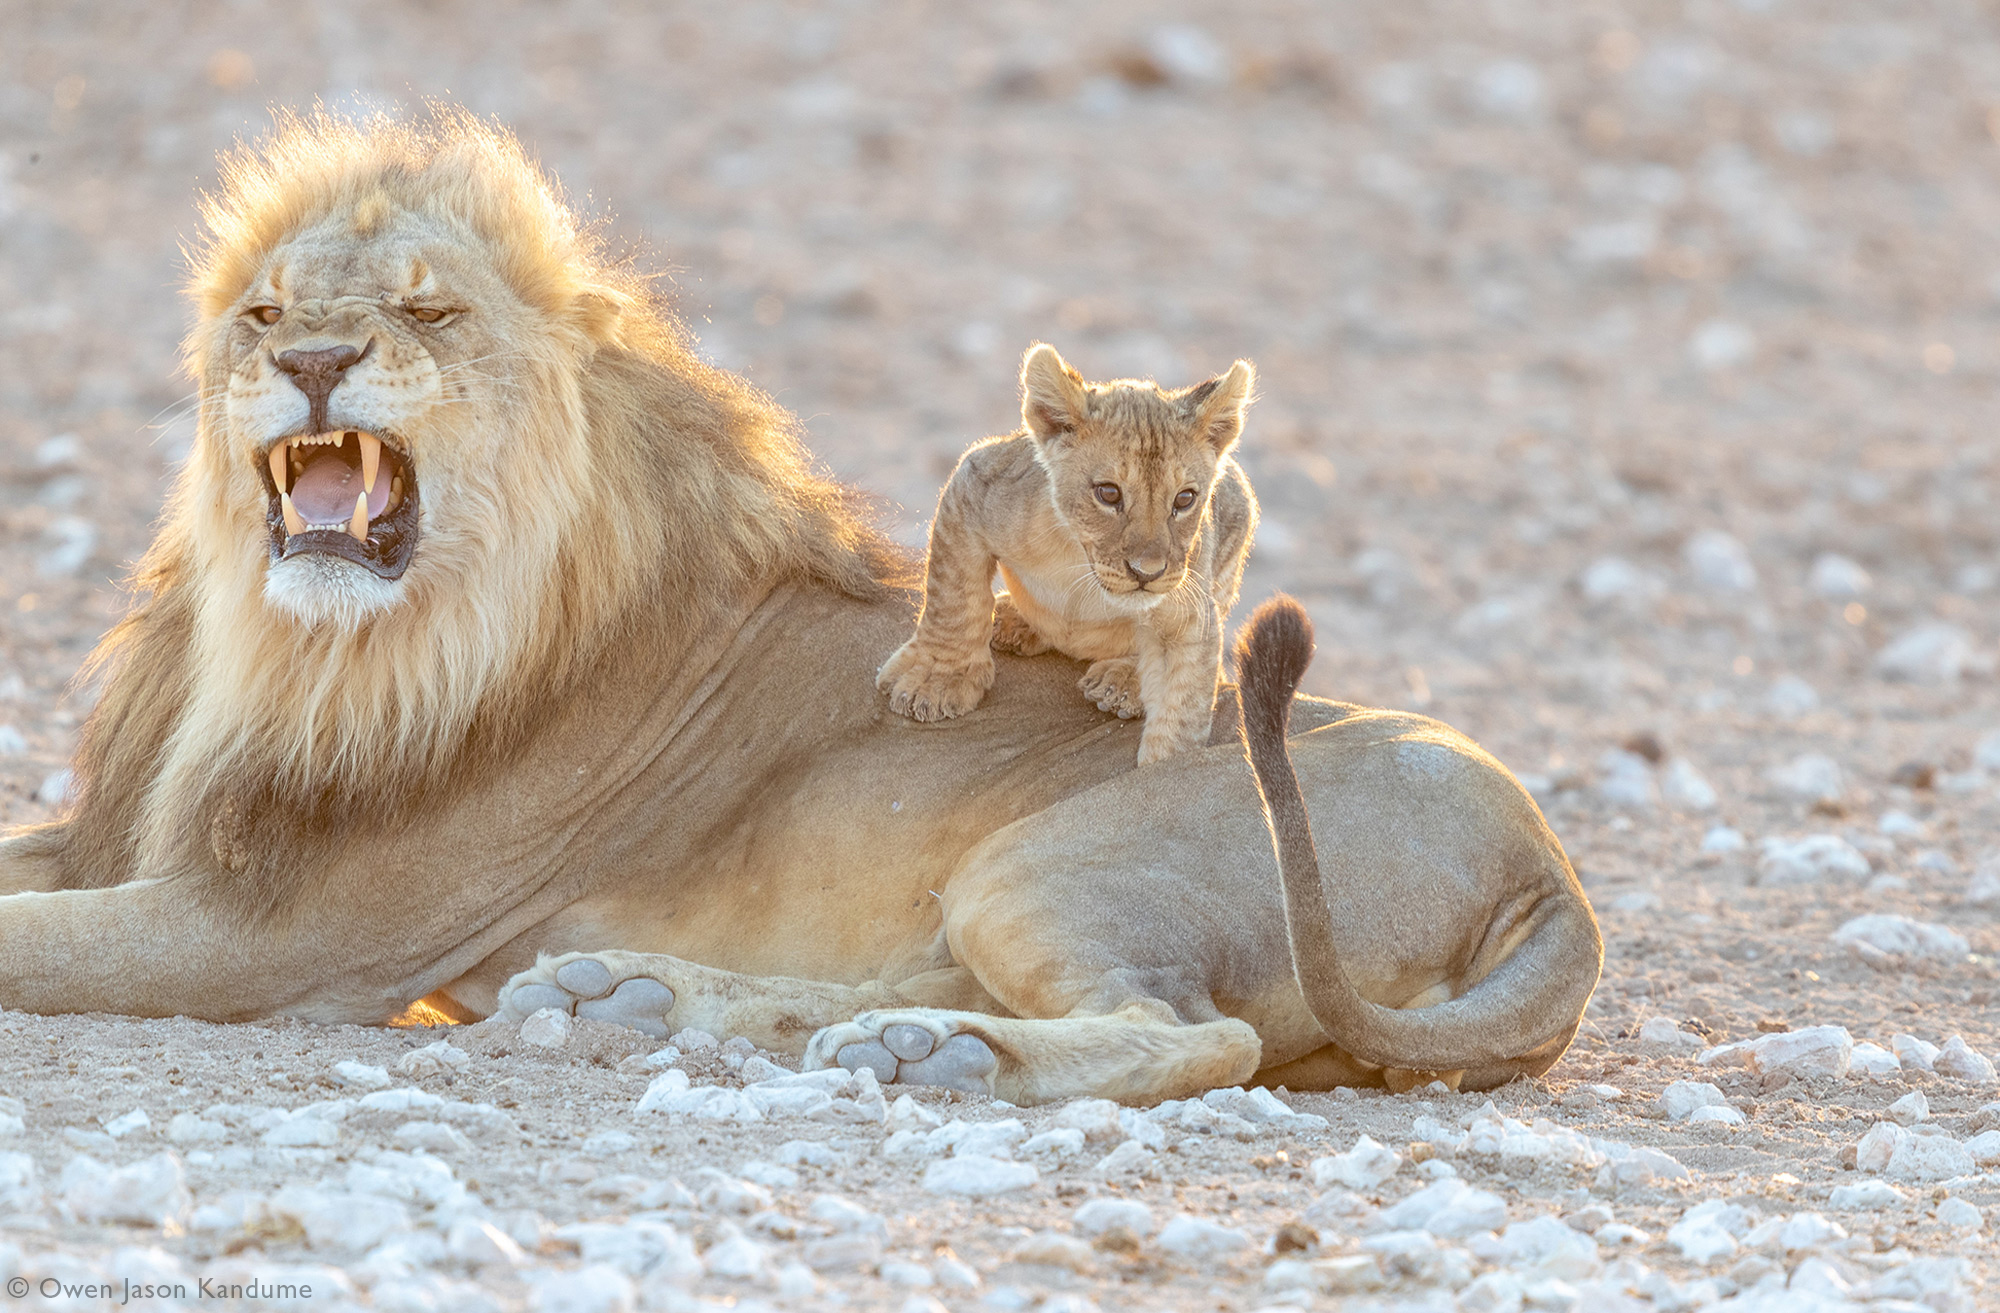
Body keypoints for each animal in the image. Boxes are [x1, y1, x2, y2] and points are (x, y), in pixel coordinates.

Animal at [872, 344, 1248, 764]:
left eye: (1184, 499)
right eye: (1108, 493)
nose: (1147, 572)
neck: (1080, 561)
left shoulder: (1189, 606)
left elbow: (1182, 710)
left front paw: (1167, 767)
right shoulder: (976, 484)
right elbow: (953, 599)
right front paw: (937, 678)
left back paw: (1120, 682)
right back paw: (1013, 622)